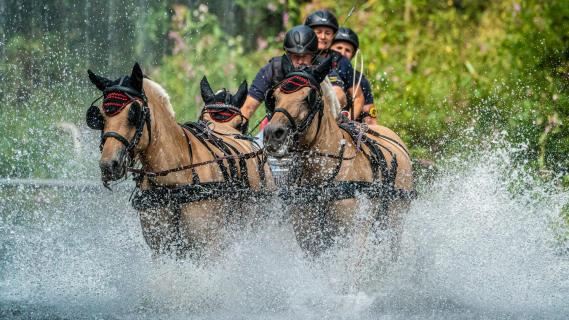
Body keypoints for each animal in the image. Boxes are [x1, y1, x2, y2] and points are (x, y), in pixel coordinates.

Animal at [85, 62, 274, 258]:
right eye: (100, 117)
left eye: (134, 113)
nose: (109, 165)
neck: (175, 176)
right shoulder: (161, 249)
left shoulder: (209, 247)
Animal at [262, 57, 412, 258]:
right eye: (275, 97)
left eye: (309, 97)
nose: (272, 133)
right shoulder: (309, 238)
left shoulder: (355, 234)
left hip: (395, 223)